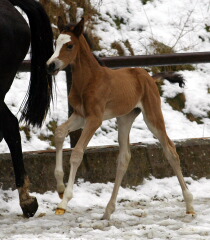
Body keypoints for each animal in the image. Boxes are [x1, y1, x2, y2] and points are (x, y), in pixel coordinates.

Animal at [46, 17, 195, 218]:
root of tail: (148, 76)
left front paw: (64, 201)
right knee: (124, 158)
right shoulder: (80, 116)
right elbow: (60, 132)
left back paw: (190, 204)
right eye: (56, 43)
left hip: (152, 116)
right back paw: (108, 211)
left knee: (170, 150)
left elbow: (77, 153)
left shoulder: (95, 119)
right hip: (125, 118)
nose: (50, 65)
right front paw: (60, 188)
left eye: (69, 45)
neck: (89, 80)